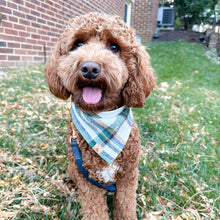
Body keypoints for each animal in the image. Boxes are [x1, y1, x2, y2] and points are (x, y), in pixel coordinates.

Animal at [44, 12, 155, 220]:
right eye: (78, 44)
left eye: (114, 47)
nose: (89, 68)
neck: (103, 116)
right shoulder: (87, 180)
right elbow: (95, 209)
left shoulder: (128, 176)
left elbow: (126, 206)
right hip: (73, 169)